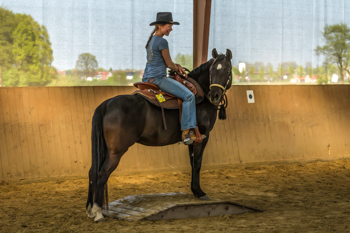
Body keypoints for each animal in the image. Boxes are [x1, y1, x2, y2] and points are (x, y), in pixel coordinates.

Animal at [85, 48, 232, 221]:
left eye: (227, 70)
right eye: (212, 71)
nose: (214, 95)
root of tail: (107, 104)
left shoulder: (193, 139)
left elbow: (192, 163)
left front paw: (194, 190)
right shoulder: (203, 137)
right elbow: (197, 163)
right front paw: (200, 192)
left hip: (105, 149)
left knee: (92, 172)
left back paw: (89, 209)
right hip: (116, 151)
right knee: (101, 174)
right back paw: (98, 212)